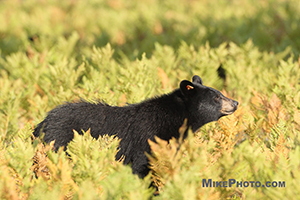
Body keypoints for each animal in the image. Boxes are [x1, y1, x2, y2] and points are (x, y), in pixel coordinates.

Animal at [33, 75, 239, 178]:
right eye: (217, 97)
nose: (235, 102)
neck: (172, 119)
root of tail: (42, 122)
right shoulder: (147, 139)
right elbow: (141, 168)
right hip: (58, 142)